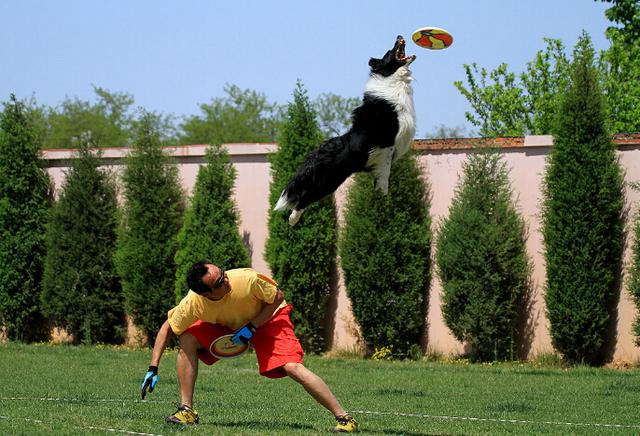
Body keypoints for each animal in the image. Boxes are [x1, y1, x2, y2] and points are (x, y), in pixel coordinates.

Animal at [274, 35, 416, 225]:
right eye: (389, 52)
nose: (399, 36)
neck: (392, 79)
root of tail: (318, 151)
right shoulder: (386, 149)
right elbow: (384, 179)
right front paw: (384, 202)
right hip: (328, 180)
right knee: (304, 197)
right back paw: (292, 220)